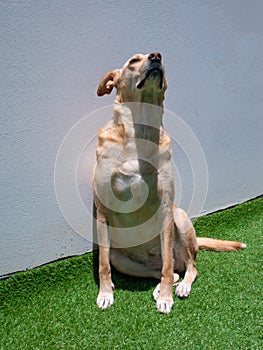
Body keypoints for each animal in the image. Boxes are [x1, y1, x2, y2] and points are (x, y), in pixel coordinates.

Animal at [93, 52, 248, 314]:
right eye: (133, 60)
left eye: (157, 56)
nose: (156, 56)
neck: (140, 131)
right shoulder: (103, 212)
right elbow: (103, 263)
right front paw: (105, 293)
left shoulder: (166, 208)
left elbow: (169, 266)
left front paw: (166, 298)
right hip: (122, 259)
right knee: (170, 270)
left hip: (180, 218)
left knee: (185, 267)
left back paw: (178, 287)